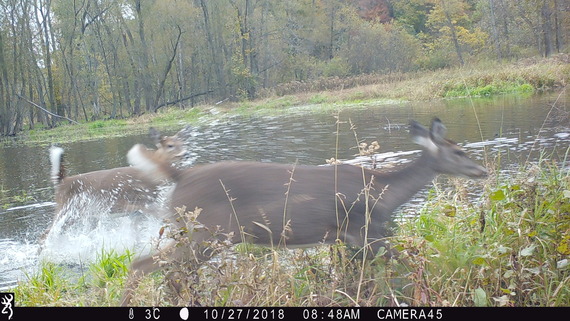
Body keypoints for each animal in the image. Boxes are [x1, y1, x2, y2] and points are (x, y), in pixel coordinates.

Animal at [120, 118, 484, 304]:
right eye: (459, 151)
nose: (481, 171)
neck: (384, 192)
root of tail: (180, 176)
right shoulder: (364, 230)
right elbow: (407, 262)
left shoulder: (346, 239)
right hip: (207, 232)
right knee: (145, 266)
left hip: (197, 233)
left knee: (170, 272)